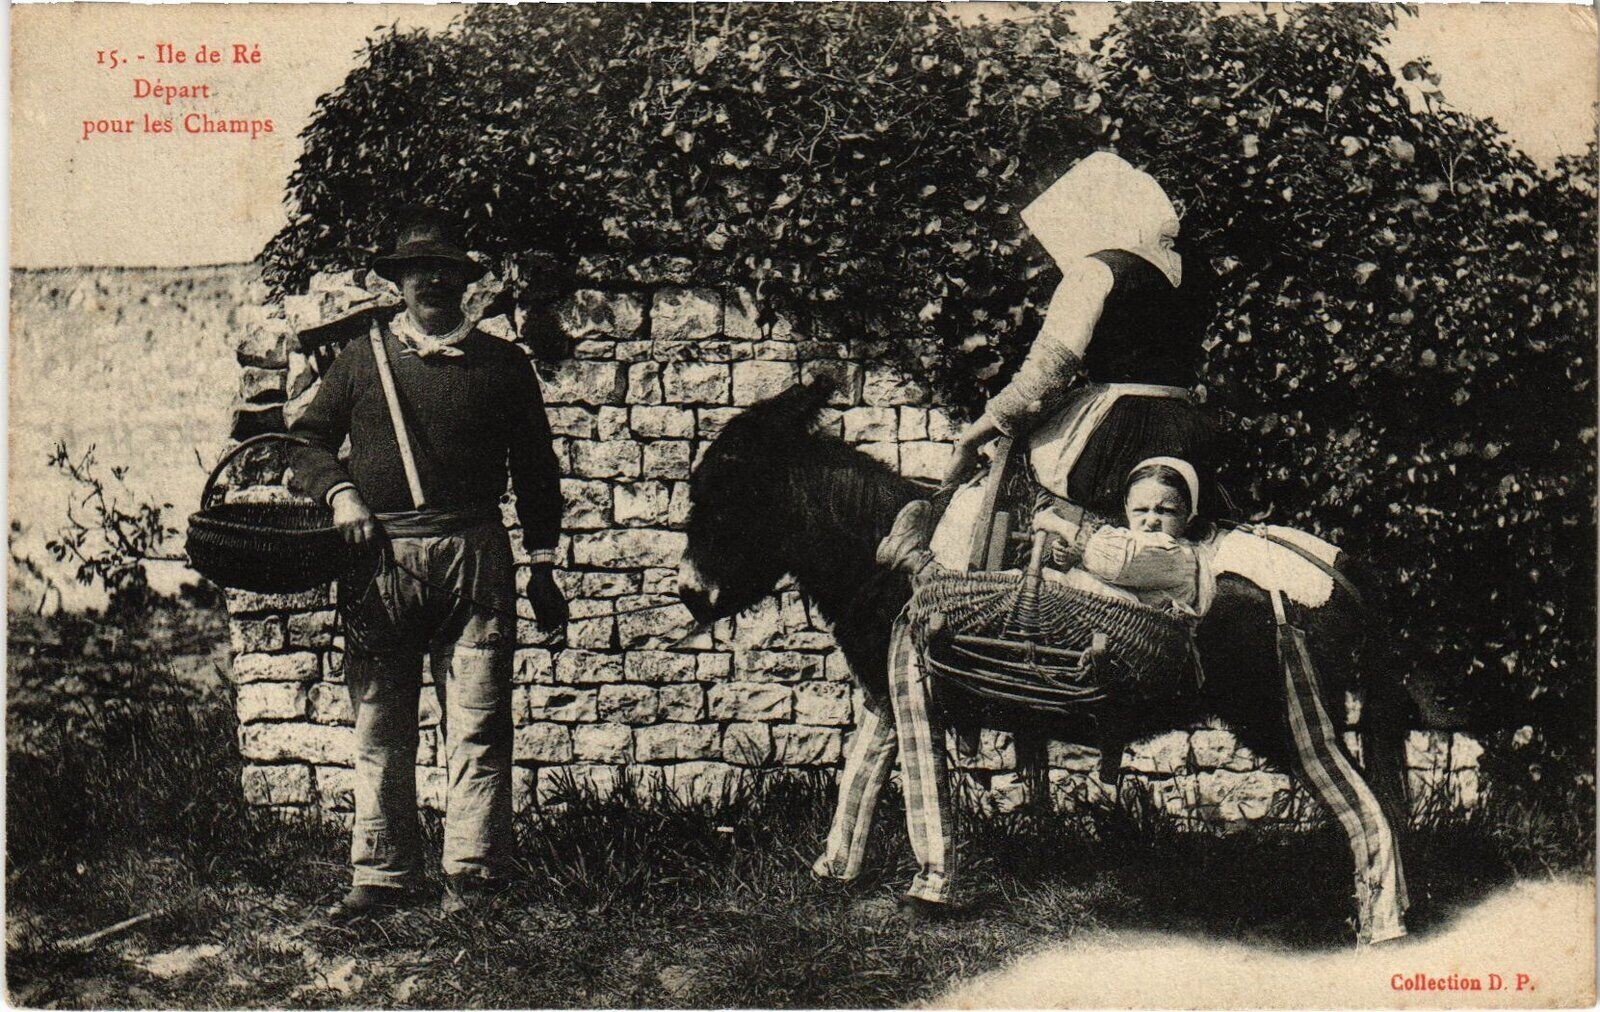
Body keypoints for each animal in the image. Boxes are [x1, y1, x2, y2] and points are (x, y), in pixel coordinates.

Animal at [676, 381, 1442, 940]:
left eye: (724, 490)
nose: (687, 593)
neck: (883, 555)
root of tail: (1338, 564)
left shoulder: (911, 685)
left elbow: (922, 792)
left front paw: (931, 891)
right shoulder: (884, 695)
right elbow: (858, 778)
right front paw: (832, 874)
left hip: (1286, 715)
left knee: (1368, 805)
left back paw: (1381, 922)